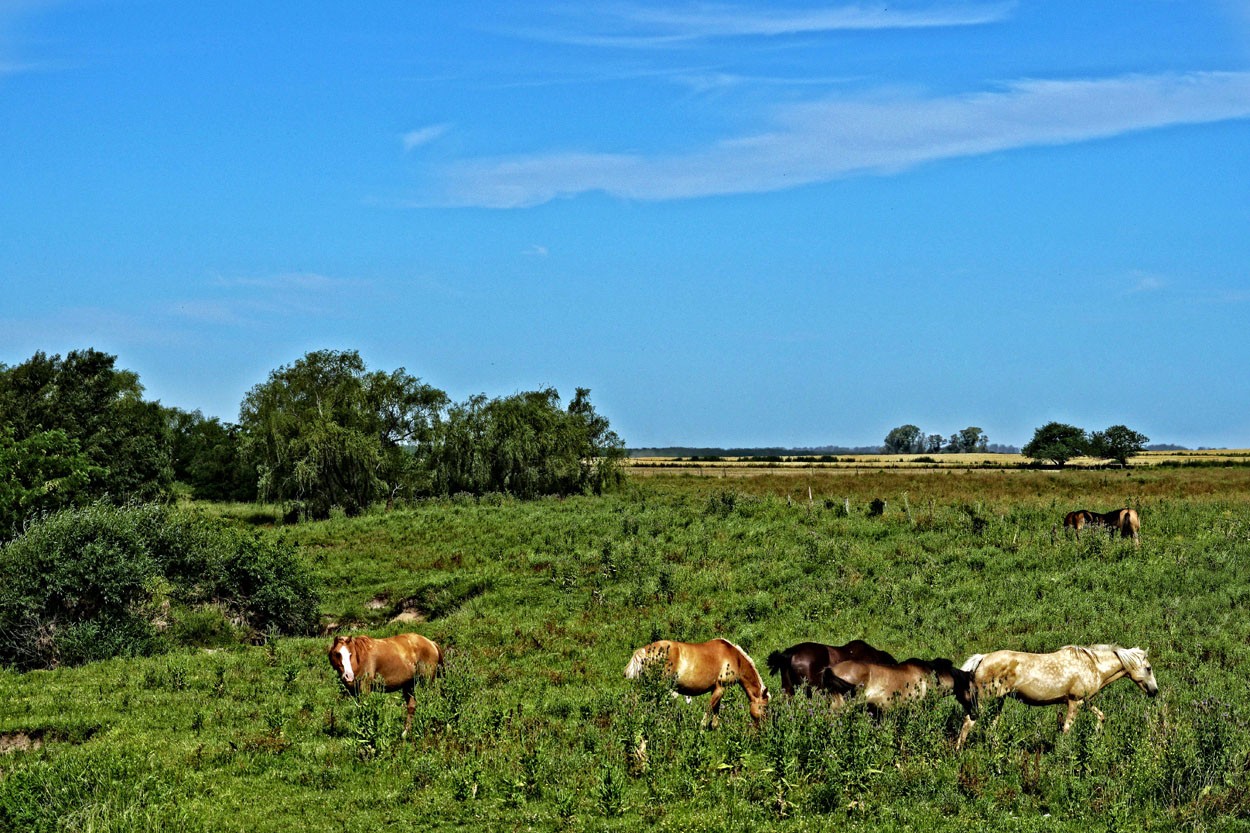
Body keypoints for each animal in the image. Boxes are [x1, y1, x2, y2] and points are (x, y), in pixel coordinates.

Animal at [625, 637, 770, 725]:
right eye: (764, 707)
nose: (764, 727)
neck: (735, 658)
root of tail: (645, 650)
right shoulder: (720, 688)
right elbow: (708, 712)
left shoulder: (716, 690)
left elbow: (715, 719)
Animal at [960, 640, 1155, 745]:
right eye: (1149, 668)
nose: (1155, 691)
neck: (1093, 666)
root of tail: (982, 658)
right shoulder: (1075, 702)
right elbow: (1066, 729)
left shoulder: (1086, 702)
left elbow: (1101, 716)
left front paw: (1096, 736)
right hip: (984, 701)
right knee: (968, 723)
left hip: (999, 701)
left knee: (992, 727)